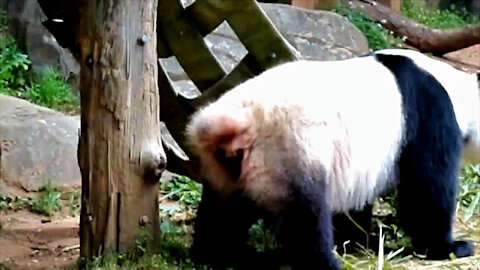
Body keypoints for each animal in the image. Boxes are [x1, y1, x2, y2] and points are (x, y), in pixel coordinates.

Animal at [185, 49, 480, 270]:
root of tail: (235, 122)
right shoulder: (428, 110)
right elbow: (427, 186)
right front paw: (451, 247)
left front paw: (360, 240)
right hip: (290, 150)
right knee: (306, 217)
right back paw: (323, 263)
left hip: (225, 167)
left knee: (224, 210)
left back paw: (217, 252)